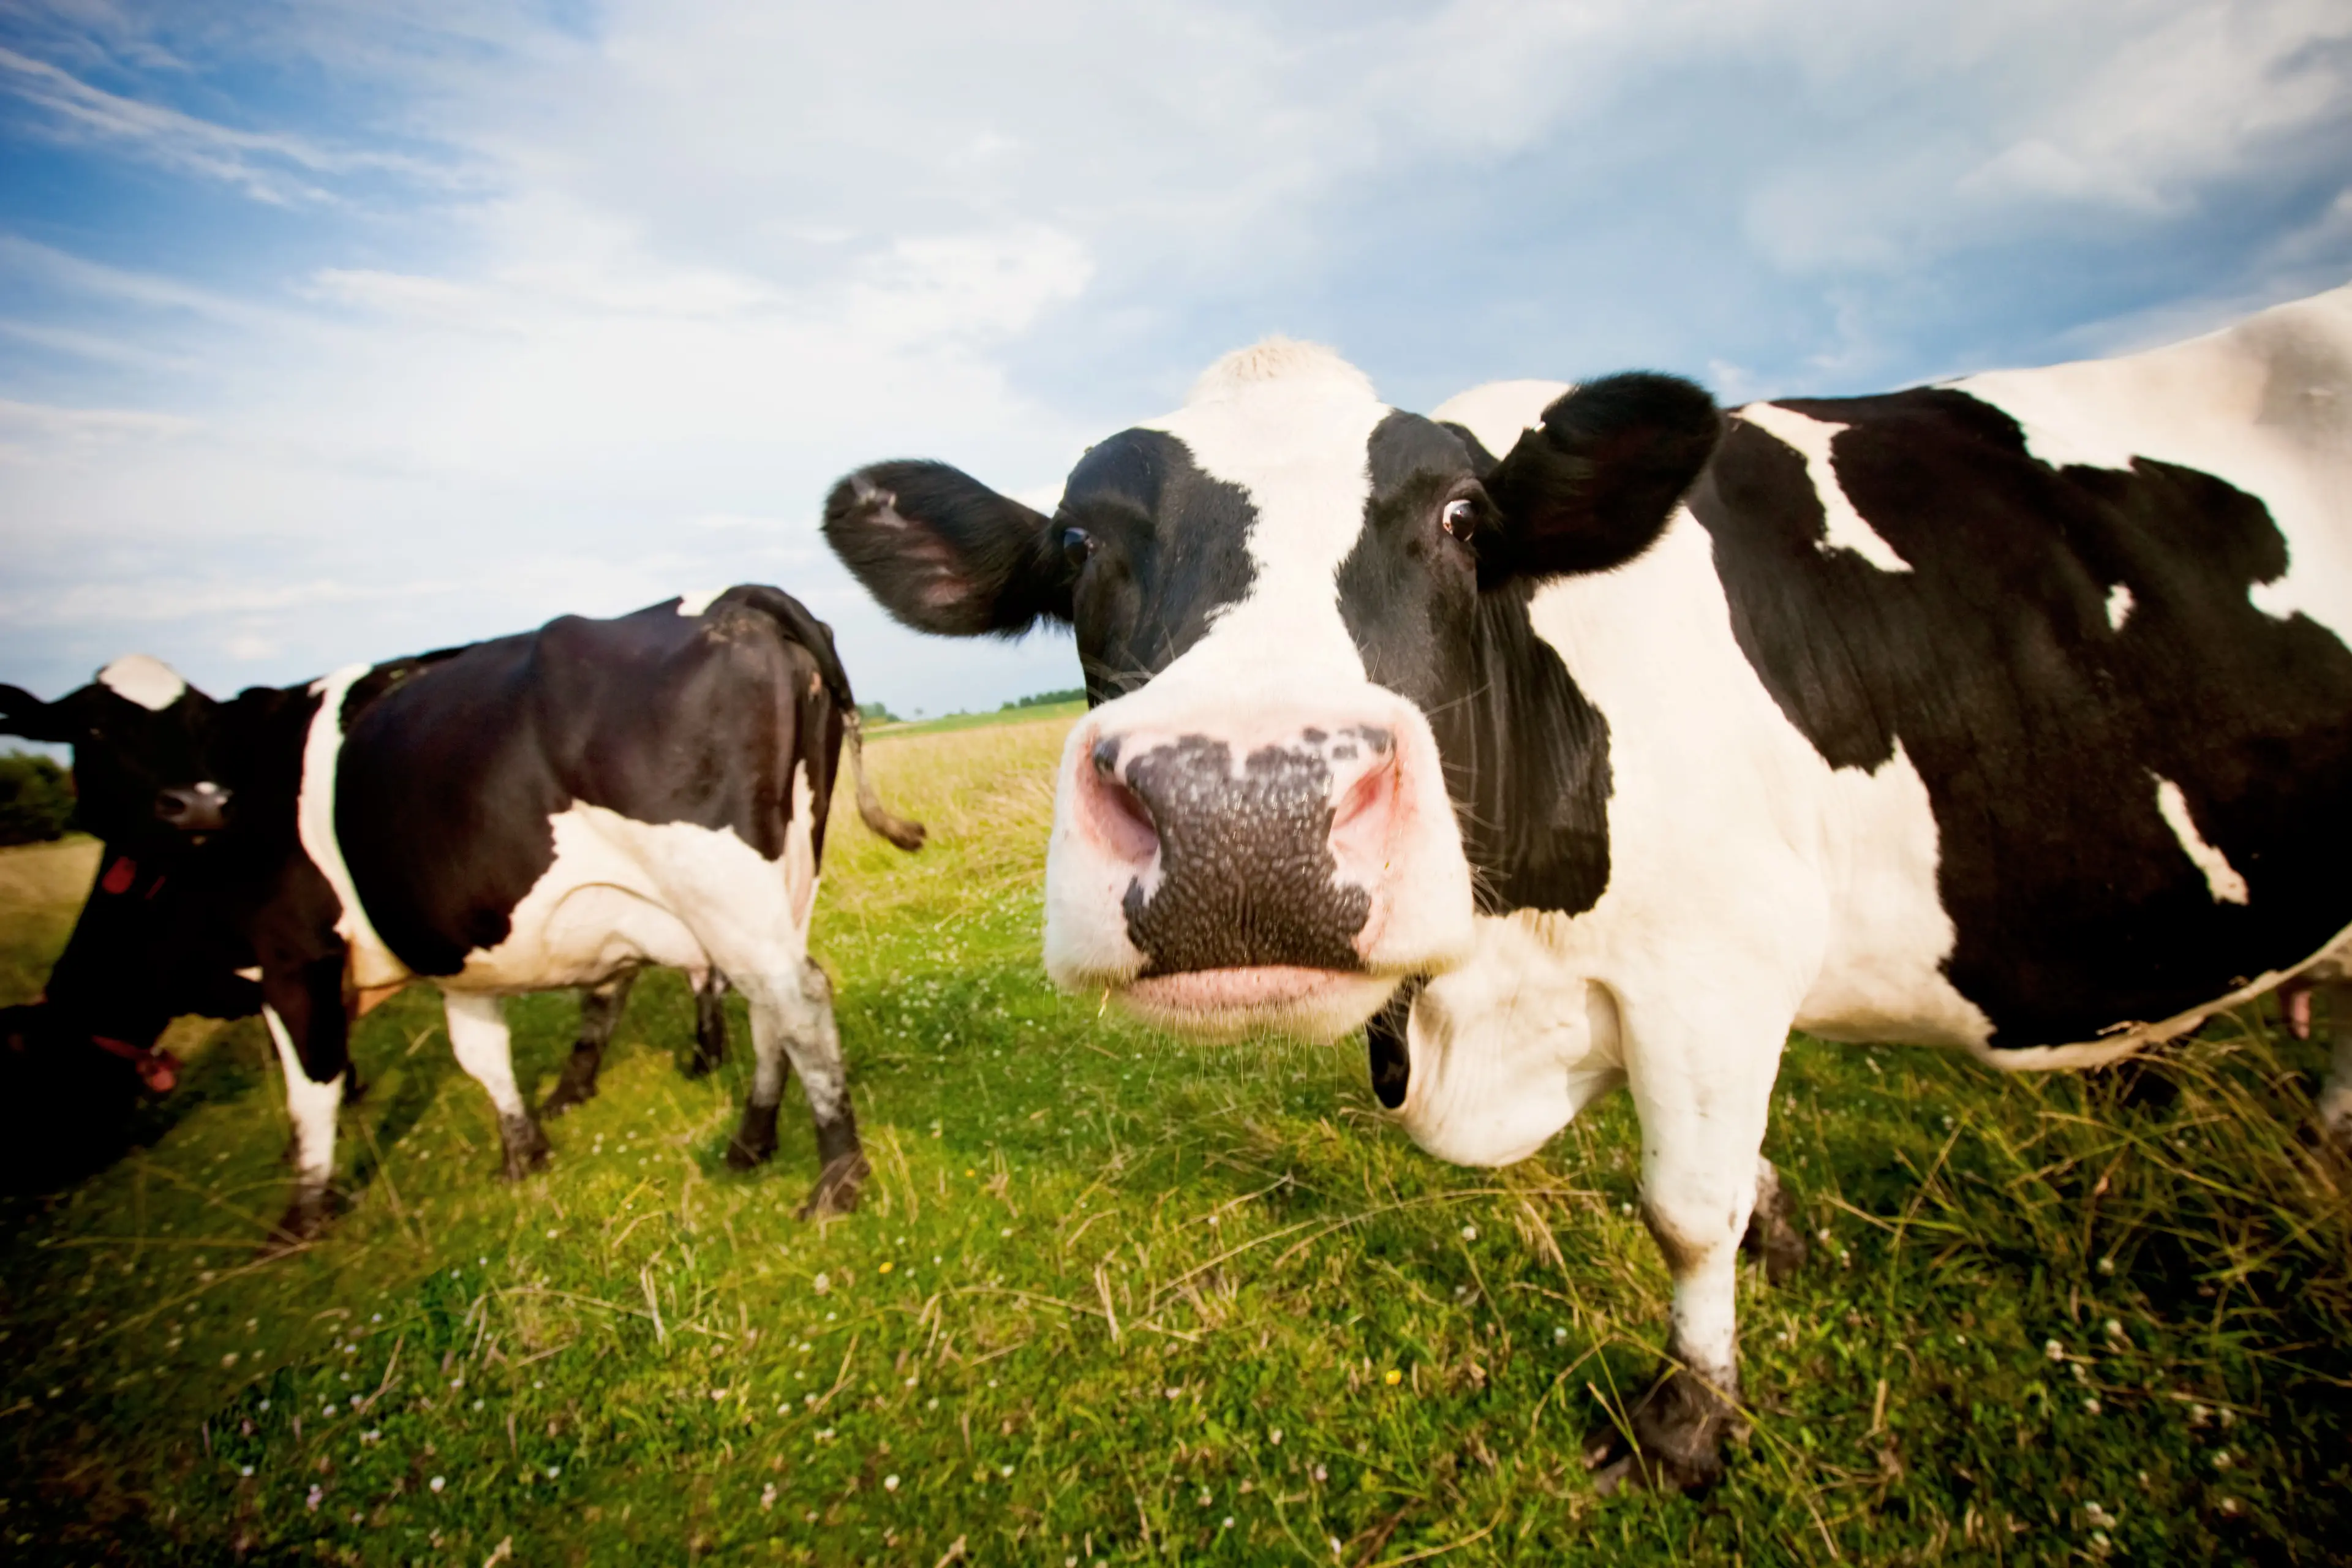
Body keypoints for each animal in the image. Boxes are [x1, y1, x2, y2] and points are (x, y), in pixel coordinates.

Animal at [0, 585, 923, 1238]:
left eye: (197, 726)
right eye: (92, 729)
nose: (198, 804)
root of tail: (737, 599)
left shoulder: (293, 958)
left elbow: (312, 1087)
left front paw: (304, 1213)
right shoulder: (455, 952)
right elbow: (481, 1056)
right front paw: (522, 1153)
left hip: (718, 881)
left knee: (799, 998)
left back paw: (836, 1181)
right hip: (778, 880)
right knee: (773, 1005)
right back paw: (751, 1141)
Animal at [820, 283, 2352, 1490]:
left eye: (1459, 515)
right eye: (1079, 546)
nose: (1244, 812)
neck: (1494, 987)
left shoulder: (1722, 955)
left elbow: (1683, 1205)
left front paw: (1689, 1420)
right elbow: (1728, 1173)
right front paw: (1785, 1234)